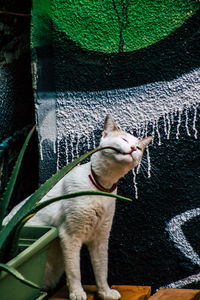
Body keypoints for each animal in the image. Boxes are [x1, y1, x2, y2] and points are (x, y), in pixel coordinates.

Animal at [3, 115, 152, 300]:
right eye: (124, 139)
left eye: (138, 148)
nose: (132, 148)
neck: (101, 187)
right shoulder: (70, 235)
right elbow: (74, 271)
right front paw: (77, 293)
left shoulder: (101, 237)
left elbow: (102, 269)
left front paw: (105, 292)